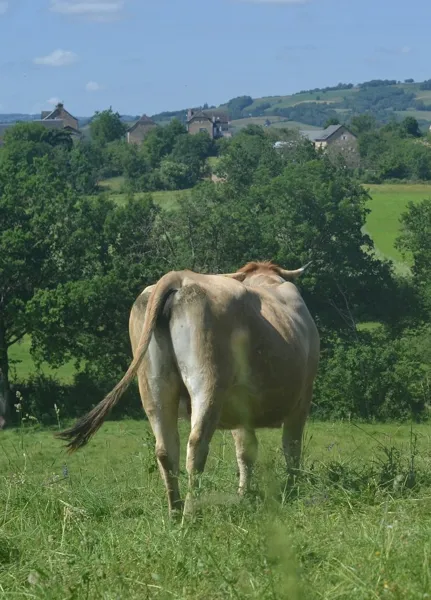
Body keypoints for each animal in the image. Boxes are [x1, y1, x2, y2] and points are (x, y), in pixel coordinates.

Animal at [57, 260, 320, 516]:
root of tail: (179, 276)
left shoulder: (239, 407)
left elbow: (246, 451)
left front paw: (244, 494)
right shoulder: (302, 398)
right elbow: (290, 445)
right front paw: (292, 489)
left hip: (154, 386)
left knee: (165, 449)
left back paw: (175, 511)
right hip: (207, 382)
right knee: (196, 446)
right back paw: (190, 513)